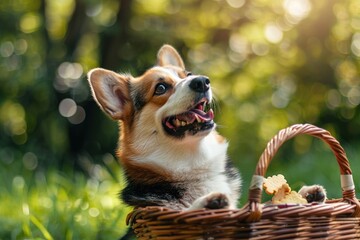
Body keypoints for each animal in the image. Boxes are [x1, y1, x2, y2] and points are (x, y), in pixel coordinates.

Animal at [88, 45, 242, 210]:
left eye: (188, 74)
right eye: (160, 88)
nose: (202, 81)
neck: (193, 159)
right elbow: (186, 210)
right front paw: (206, 202)